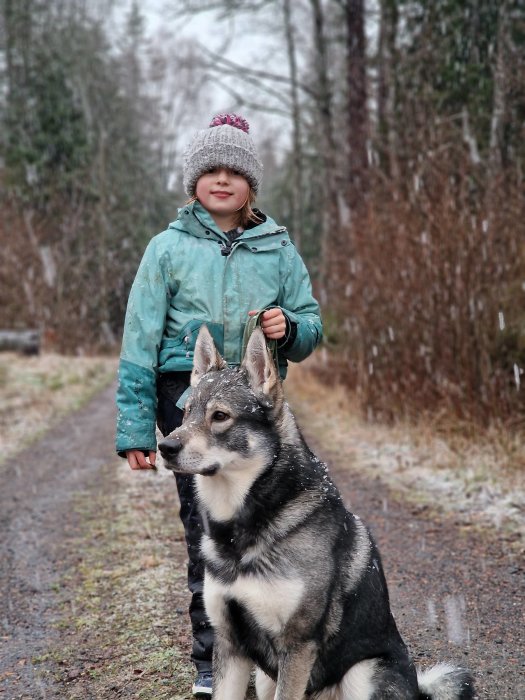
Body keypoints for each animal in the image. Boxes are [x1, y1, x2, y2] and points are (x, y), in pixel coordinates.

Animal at [158, 328, 472, 700]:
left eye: (220, 416)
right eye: (187, 413)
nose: (165, 447)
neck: (243, 525)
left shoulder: (297, 645)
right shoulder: (230, 644)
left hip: (361, 674)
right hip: (265, 678)